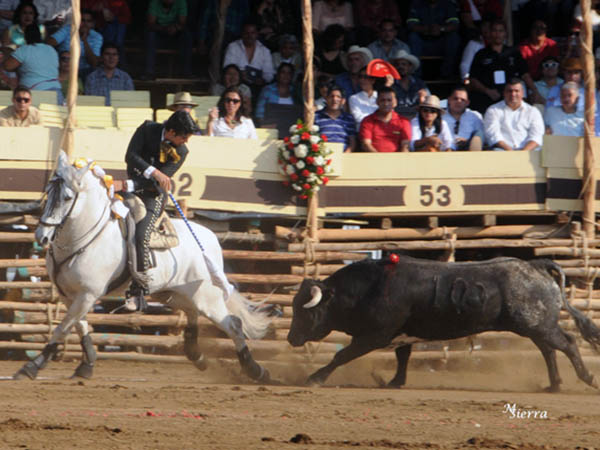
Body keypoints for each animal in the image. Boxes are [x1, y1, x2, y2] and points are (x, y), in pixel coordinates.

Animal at [14, 151, 272, 382]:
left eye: (67, 197)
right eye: (48, 192)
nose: (42, 236)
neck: (82, 238)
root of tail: (210, 241)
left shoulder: (88, 294)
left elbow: (63, 327)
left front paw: (31, 367)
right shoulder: (69, 295)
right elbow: (79, 326)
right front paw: (86, 365)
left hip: (207, 298)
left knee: (233, 324)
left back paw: (256, 371)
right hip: (173, 294)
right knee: (192, 314)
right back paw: (197, 355)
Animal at [287, 255, 600, 392]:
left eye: (303, 312)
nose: (291, 339)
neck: (371, 287)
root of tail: (535, 265)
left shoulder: (374, 336)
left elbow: (341, 355)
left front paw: (315, 378)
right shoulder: (402, 335)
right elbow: (403, 357)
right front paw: (395, 382)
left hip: (538, 325)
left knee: (568, 343)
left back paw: (586, 378)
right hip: (536, 326)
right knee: (548, 350)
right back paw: (554, 385)